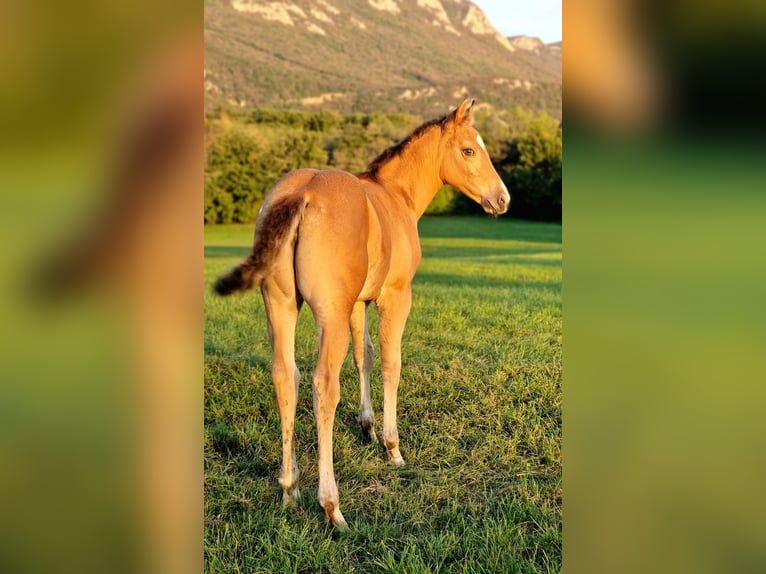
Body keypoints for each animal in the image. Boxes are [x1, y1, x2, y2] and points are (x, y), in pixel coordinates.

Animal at [214, 98, 510, 532]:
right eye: (470, 150)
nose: (502, 199)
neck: (395, 196)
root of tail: (301, 194)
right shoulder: (395, 295)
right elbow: (390, 361)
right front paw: (392, 447)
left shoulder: (358, 303)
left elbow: (364, 356)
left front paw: (367, 426)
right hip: (330, 315)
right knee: (323, 385)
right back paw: (331, 506)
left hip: (281, 305)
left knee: (286, 376)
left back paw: (289, 489)